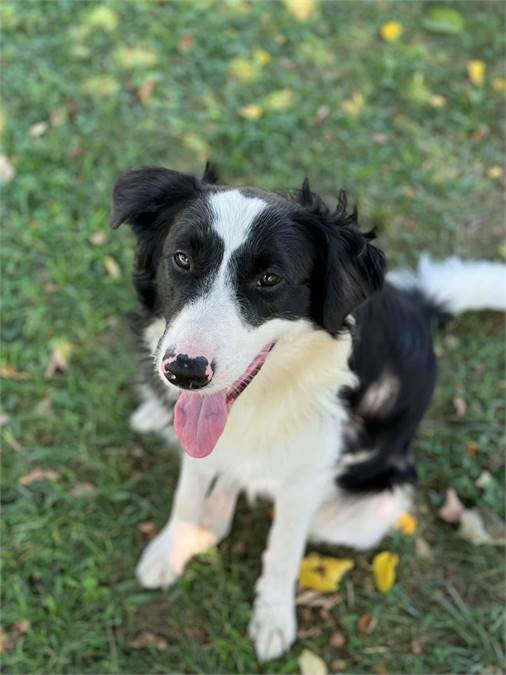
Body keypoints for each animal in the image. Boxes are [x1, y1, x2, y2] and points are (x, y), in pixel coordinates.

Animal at [111, 166, 506, 664]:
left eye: (270, 279)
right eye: (181, 259)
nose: (185, 371)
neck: (266, 393)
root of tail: (422, 307)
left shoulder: (307, 477)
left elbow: (282, 549)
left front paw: (273, 619)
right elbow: (189, 491)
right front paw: (171, 549)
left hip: (361, 512)